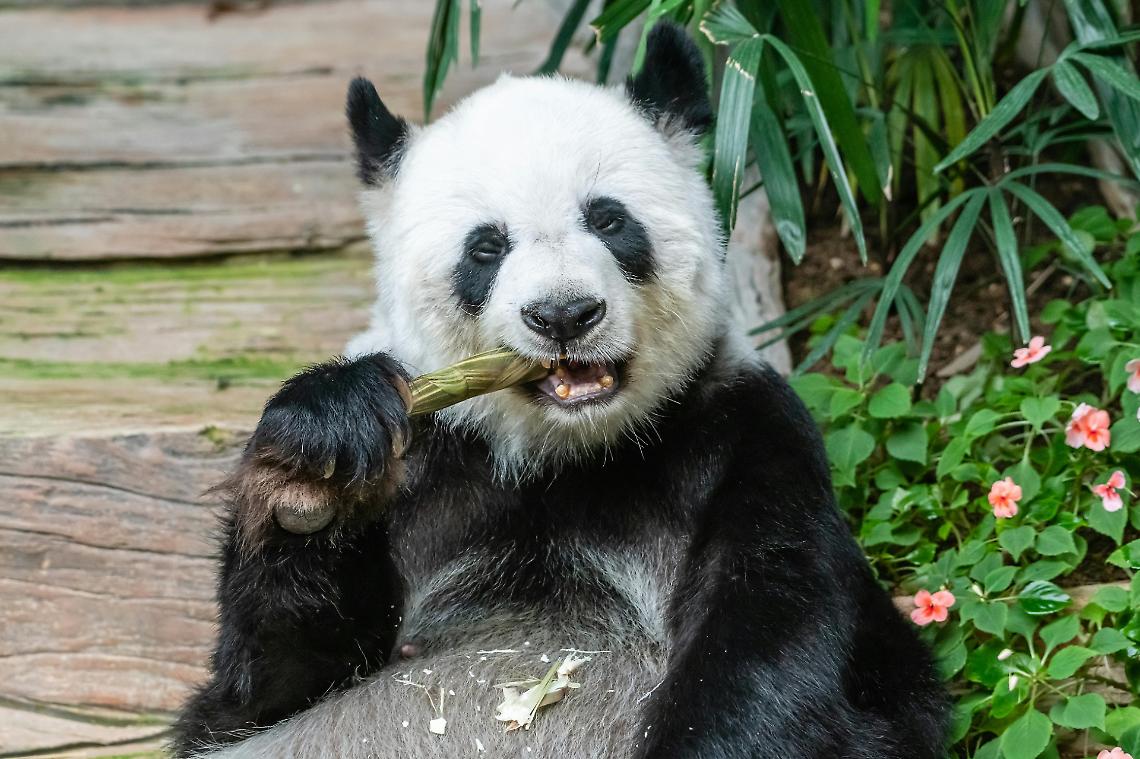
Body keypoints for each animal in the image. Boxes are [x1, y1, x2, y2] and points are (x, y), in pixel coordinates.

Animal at [172, 22, 949, 759]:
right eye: (486, 247)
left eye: (608, 219)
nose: (564, 314)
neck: (561, 453)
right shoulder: (429, 458)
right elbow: (267, 684)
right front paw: (315, 471)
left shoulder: (745, 430)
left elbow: (767, 640)